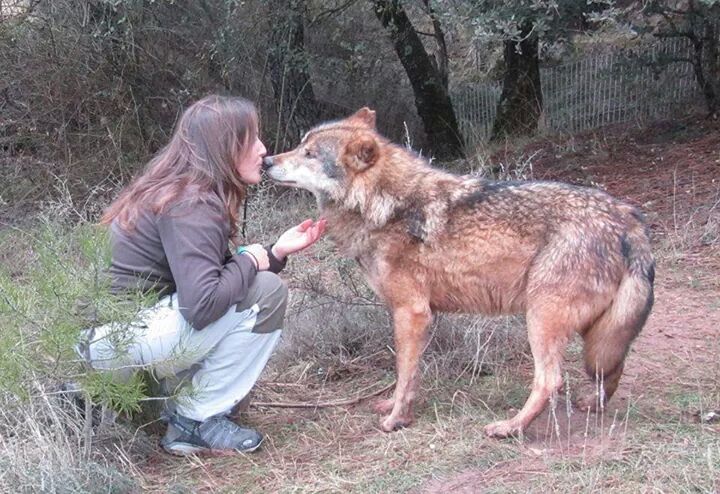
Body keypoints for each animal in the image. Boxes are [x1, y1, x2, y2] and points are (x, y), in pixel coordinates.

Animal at [262, 108, 656, 436]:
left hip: (540, 318)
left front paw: (396, 420)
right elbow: (410, 376)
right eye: (300, 145)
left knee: (551, 380)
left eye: (309, 154)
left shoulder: (411, 312)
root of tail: (628, 218)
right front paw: (395, 408)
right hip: (595, 330)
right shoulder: (420, 315)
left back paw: (511, 427)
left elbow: (403, 372)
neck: (384, 205)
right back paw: (591, 406)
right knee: (611, 367)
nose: (265, 160)